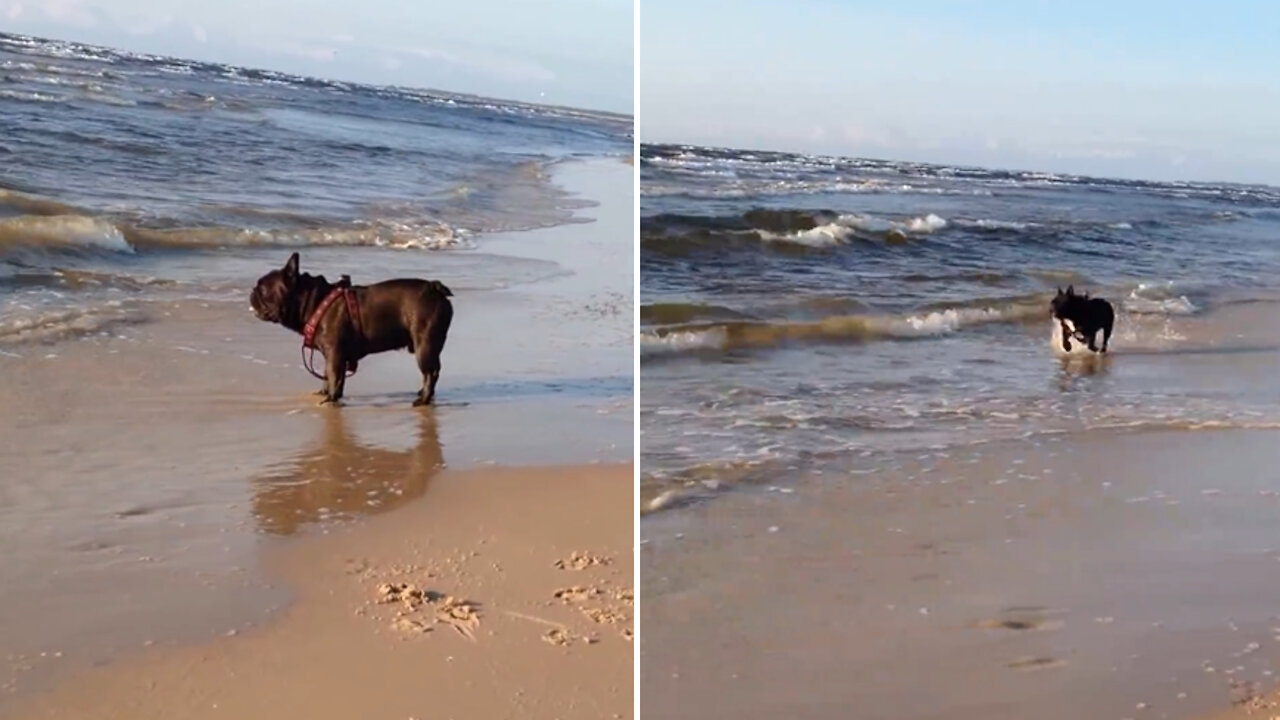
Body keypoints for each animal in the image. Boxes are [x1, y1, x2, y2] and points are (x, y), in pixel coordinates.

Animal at [247, 252, 453, 404]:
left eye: (262, 288)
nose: (252, 291)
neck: (315, 301)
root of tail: (434, 287)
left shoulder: (335, 353)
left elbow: (333, 376)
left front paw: (331, 399)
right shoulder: (331, 355)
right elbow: (327, 375)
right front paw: (324, 392)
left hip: (424, 345)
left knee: (431, 372)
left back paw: (424, 399)